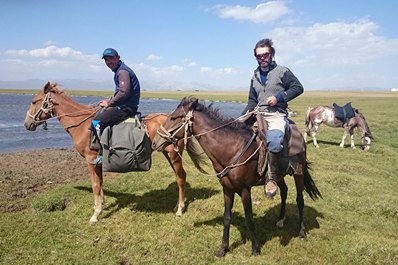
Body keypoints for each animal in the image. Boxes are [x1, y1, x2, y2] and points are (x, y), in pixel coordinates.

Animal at [24, 81, 189, 224]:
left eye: (34, 101)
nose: (27, 124)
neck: (82, 125)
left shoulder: (91, 160)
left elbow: (95, 184)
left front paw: (95, 214)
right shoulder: (98, 161)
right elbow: (100, 182)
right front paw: (100, 205)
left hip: (173, 155)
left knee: (181, 177)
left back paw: (180, 209)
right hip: (168, 154)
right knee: (179, 176)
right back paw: (177, 205)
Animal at [151, 97, 322, 256]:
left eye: (174, 117)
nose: (154, 143)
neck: (231, 149)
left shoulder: (245, 190)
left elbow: (249, 219)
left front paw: (255, 248)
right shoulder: (227, 189)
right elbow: (227, 217)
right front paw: (223, 249)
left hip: (299, 173)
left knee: (300, 200)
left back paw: (301, 232)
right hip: (278, 176)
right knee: (284, 191)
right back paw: (280, 220)